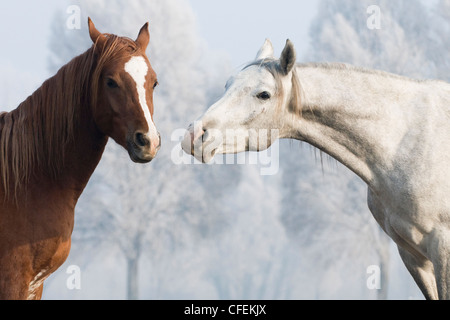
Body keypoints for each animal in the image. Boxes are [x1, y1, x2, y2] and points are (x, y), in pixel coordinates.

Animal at [0, 18, 161, 300]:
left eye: (153, 83)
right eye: (111, 82)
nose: (148, 141)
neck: (28, 182)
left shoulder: (34, 286)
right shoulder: (13, 280)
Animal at [181, 38, 450, 298]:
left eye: (264, 94)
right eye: (228, 85)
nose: (194, 135)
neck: (405, 140)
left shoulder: (441, 249)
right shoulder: (413, 256)